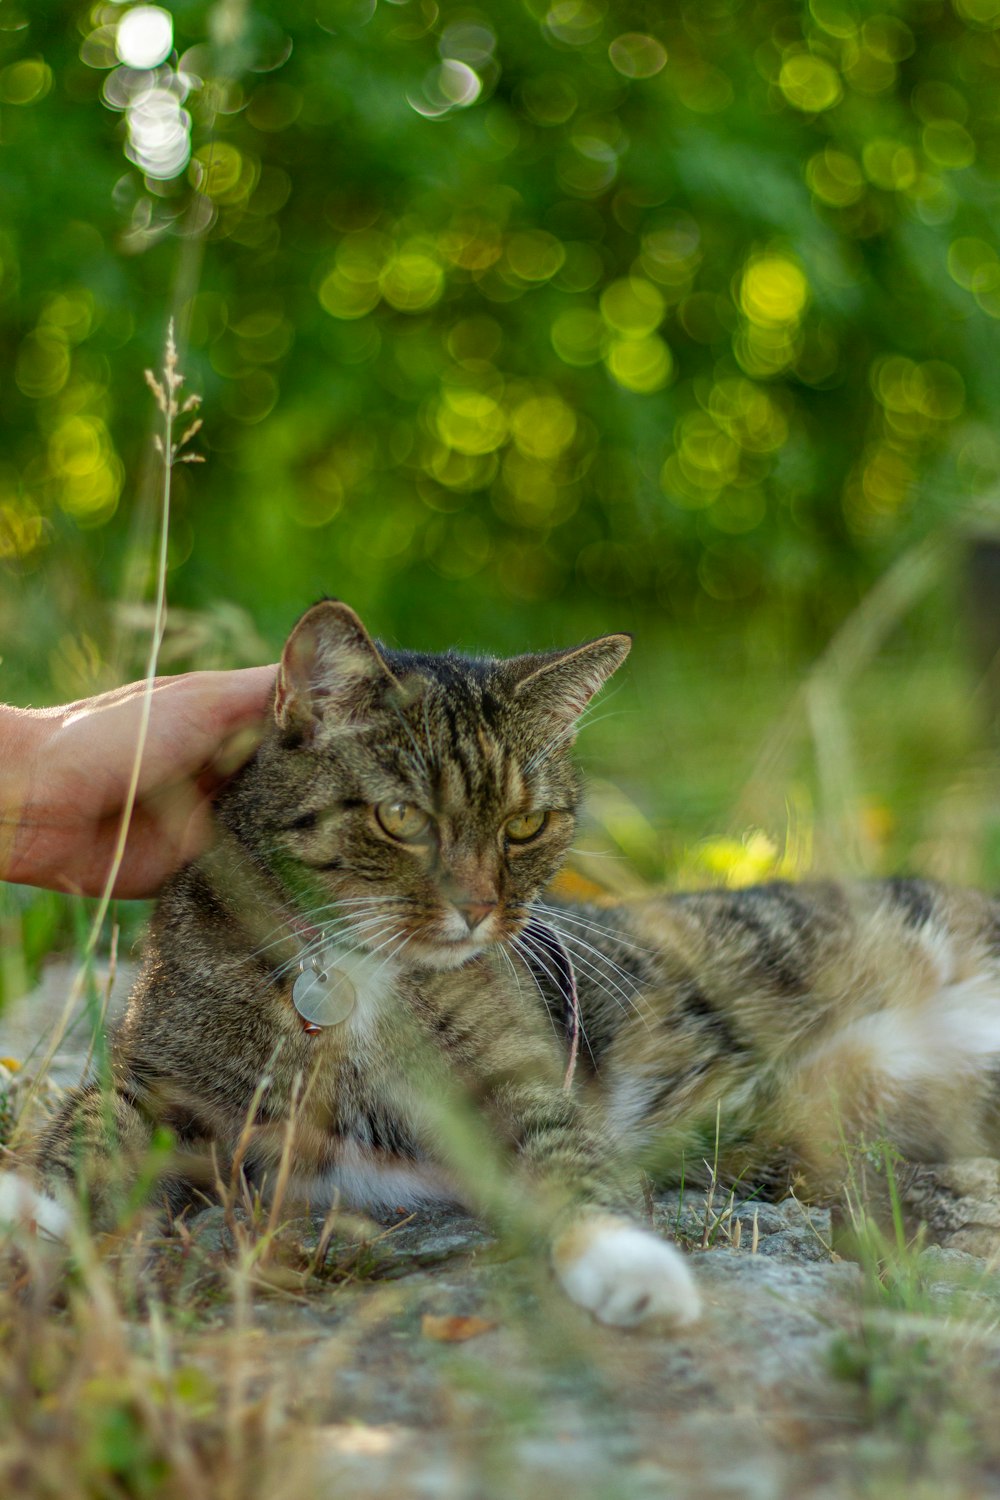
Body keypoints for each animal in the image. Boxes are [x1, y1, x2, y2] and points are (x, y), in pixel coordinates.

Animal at [5, 597, 1000, 1326]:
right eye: (402, 818)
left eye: (526, 824)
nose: (481, 908)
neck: (352, 973)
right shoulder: (165, 1091)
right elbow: (83, 1130)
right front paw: (33, 1219)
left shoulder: (520, 1086)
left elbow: (570, 1159)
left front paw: (633, 1266)